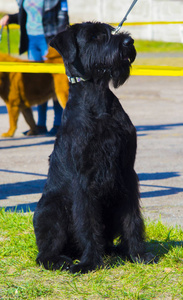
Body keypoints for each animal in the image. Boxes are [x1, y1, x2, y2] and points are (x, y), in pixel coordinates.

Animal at [33, 22, 154, 274]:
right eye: (94, 37)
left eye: (110, 31)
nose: (128, 42)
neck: (97, 99)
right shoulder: (84, 178)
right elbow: (87, 222)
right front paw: (90, 263)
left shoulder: (127, 172)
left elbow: (132, 219)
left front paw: (138, 254)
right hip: (51, 209)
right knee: (44, 253)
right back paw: (61, 260)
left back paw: (116, 251)